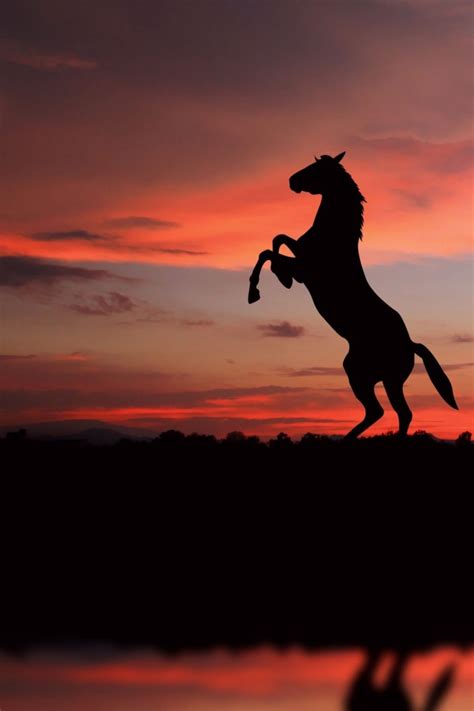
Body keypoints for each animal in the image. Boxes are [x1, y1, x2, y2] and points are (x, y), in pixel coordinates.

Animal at [248, 152, 458, 438]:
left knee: (387, 411)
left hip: (369, 376)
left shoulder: (305, 269)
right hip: (376, 377)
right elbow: (277, 241)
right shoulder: (301, 256)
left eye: (316, 168)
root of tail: (410, 344)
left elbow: (270, 251)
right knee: (392, 412)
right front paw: (279, 279)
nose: (292, 181)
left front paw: (259, 289)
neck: (333, 236)